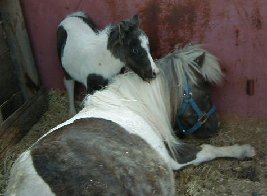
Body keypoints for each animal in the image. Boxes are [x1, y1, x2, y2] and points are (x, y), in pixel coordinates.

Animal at [5, 44, 255, 196]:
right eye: (205, 91)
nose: (216, 126)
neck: (135, 104)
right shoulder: (173, 157)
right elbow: (209, 150)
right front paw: (244, 150)